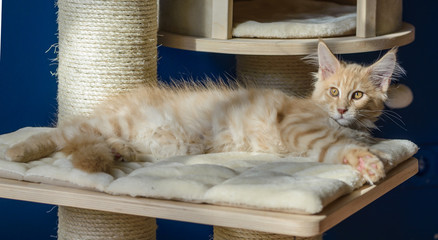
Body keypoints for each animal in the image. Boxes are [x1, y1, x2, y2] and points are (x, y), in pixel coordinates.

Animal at [5, 41, 398, 184]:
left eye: (358, 95)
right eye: (333, 92)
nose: (342, 109)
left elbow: (346, 143)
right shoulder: (300, 128)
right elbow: (340, 148)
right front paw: (369, 162)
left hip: (166, 145)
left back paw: (119, 151)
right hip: (112, 122)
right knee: (61, 133)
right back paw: (17, 151)